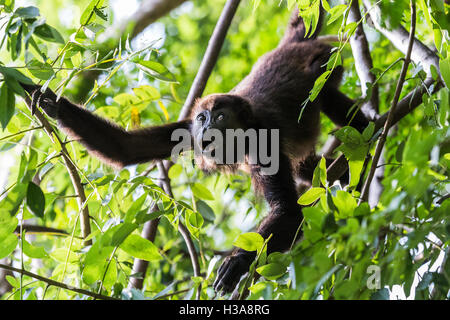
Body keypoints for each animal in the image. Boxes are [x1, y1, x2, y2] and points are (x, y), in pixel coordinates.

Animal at [19, 10, 368, 296]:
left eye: (221, 117)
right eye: (202, 118)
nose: (208, 126)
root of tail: (291, 46)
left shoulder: (262, 140)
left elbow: (289, 212)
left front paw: (237, 263)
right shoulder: (187, 131)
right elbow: (125, 147)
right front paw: (48, 101)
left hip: (325, 60)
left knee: (325, 93)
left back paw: (366, 139)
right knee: (305, 165)